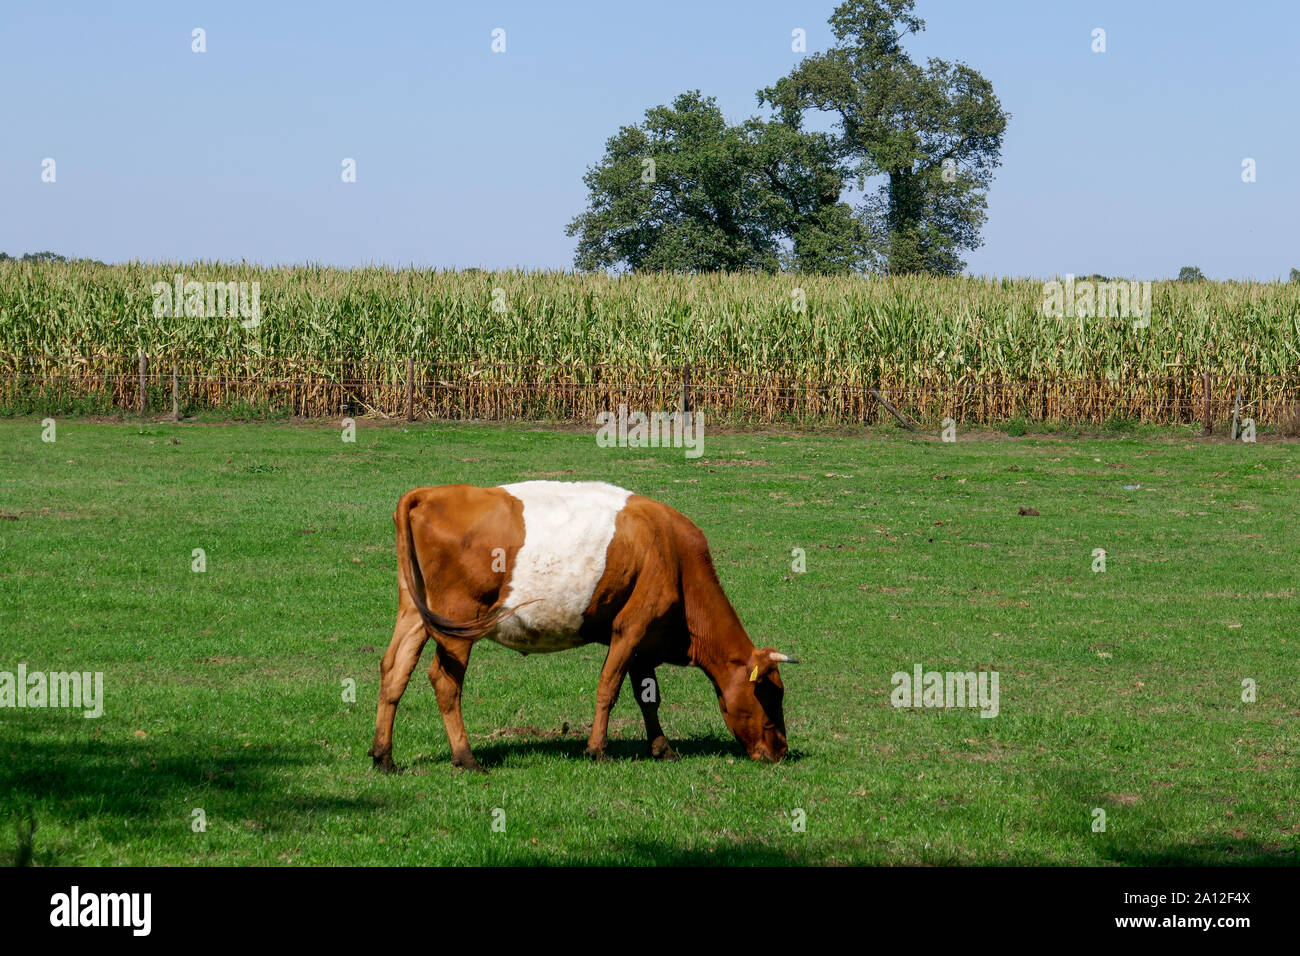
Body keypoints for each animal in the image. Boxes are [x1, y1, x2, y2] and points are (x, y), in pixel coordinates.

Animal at [366, 481, 790, 775]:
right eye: (770, 693)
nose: (782, 751)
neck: (675, 555)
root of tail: (429, 493)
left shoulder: (643, 639)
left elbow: (648, 697)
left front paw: (662, 748)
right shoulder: (631, 628)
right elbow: (608, 688)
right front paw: (597, 749)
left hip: (415, 613)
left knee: (394, 670)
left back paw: (383, 756)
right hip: (459, 618)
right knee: (444, 681)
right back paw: (466, 758)